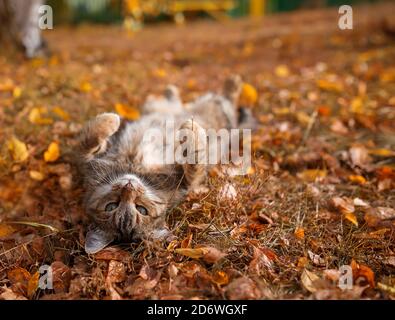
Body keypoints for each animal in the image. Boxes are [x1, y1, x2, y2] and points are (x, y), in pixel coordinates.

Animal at [76, 76, 254, 254]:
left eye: (141, 209)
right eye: (112, 206)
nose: (128, 187)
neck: (134, 168)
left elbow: (85, 142)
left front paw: (110, 120)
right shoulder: (186, 183)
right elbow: (196, 163)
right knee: (226, 103)